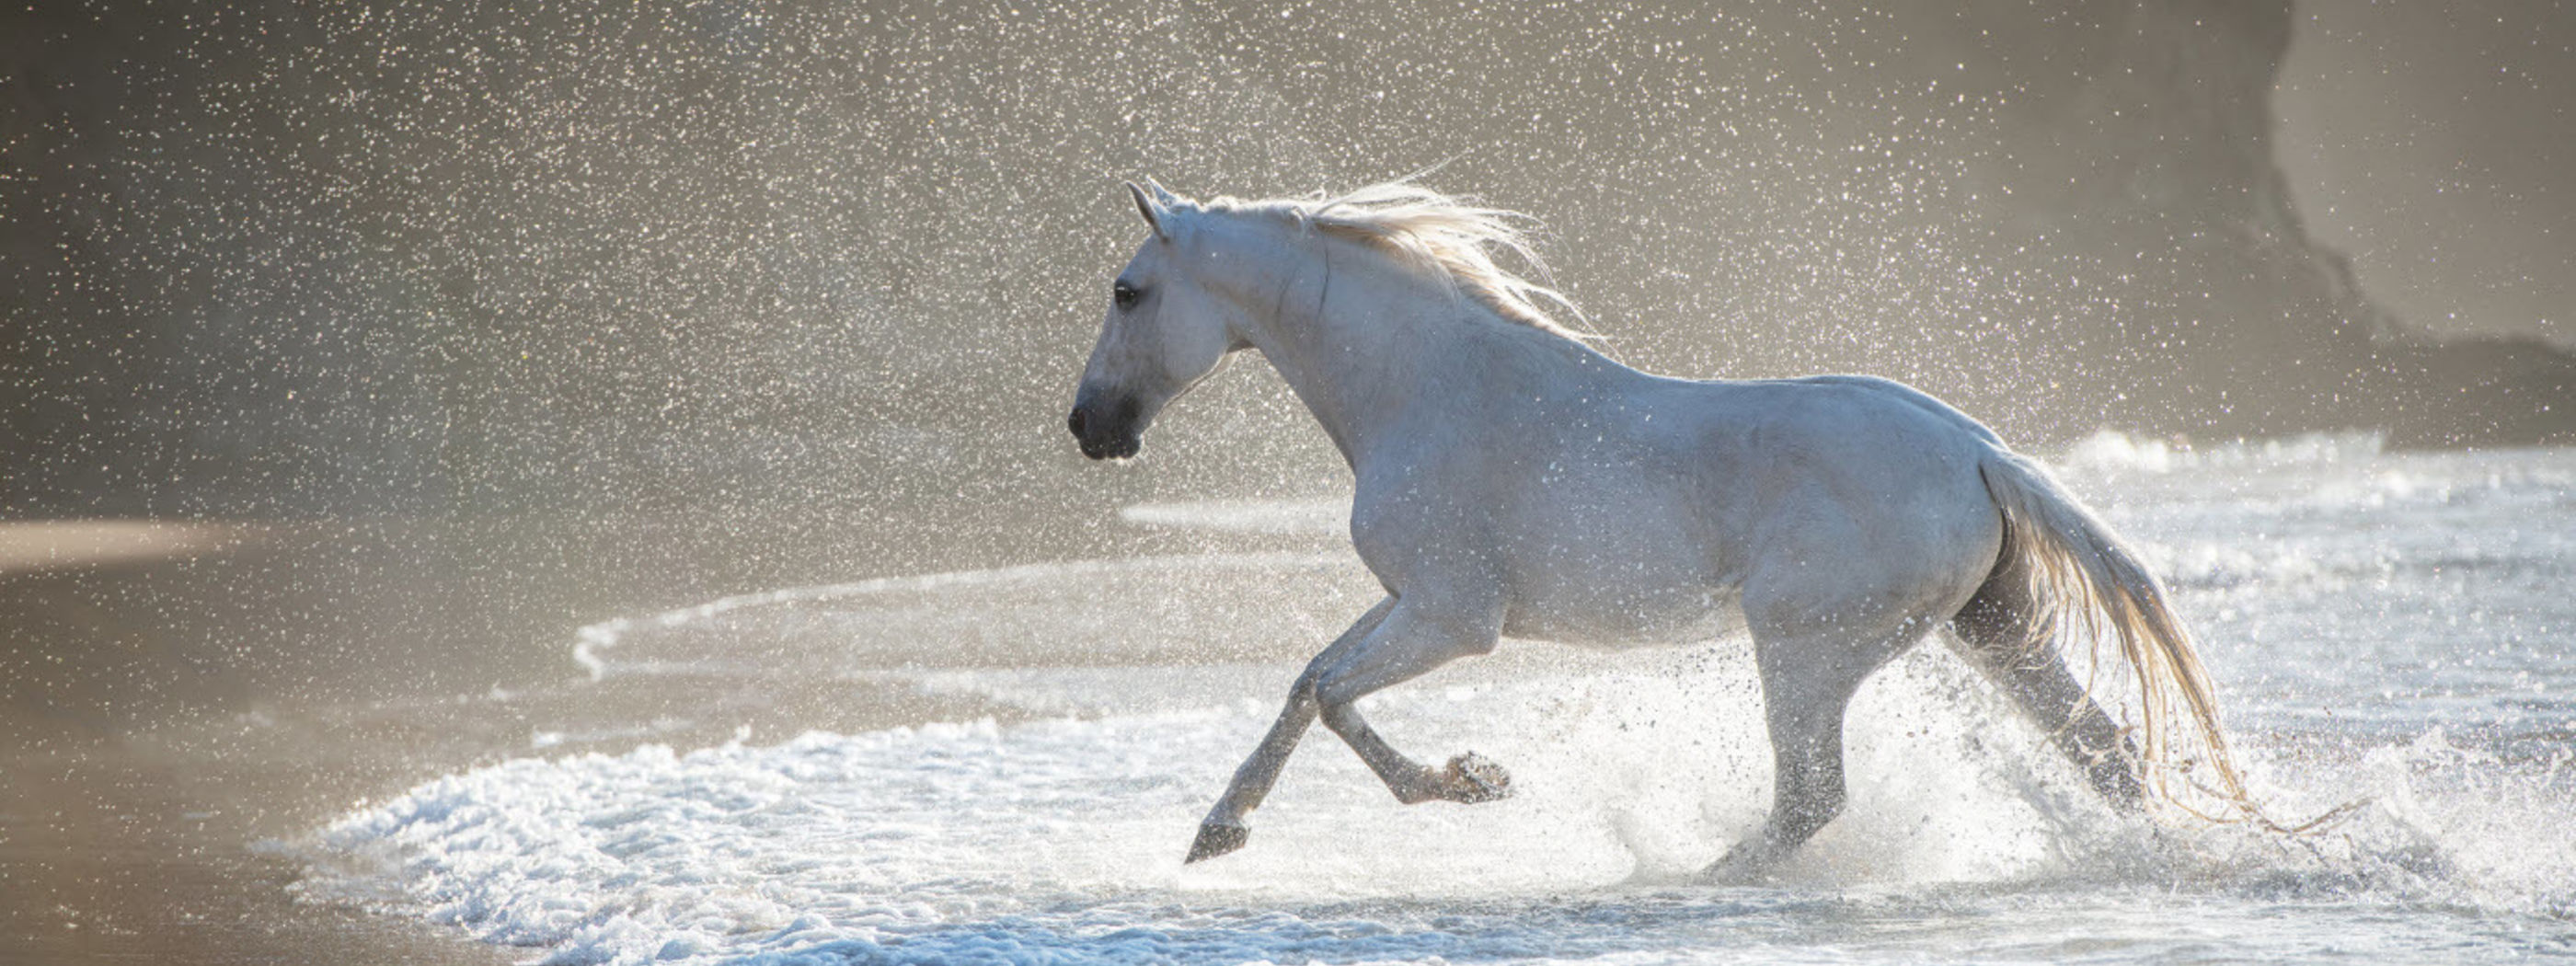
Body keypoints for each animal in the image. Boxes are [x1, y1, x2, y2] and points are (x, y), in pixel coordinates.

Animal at [1056, 178, 2246, 880]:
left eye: (1127, 291)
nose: (1088, 429)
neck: (1426, 385)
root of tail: (1977, 450)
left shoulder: (1451, 619)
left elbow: (1337, 698)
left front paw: (1469, 782)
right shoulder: (1409, 603)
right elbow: (1308, 684)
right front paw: (1219, 832)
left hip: (1806, 654)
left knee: (1812, 800)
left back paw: (1704, 878)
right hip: (1986, 630)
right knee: (2106, 752)